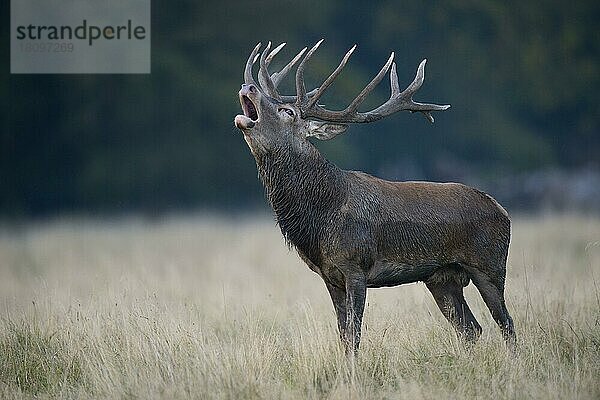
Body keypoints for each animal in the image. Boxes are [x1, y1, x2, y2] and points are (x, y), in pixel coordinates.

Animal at [234, 39, 516, 354]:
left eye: (288, 112)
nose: (248, 86)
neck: (322, 216)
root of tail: (502, 209)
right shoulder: (329, 275)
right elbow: (344, 335)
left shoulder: (356, 265)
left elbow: (354, 335)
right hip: (442, 278)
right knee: (471, 329)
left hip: (490, 264)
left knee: (506, 324)